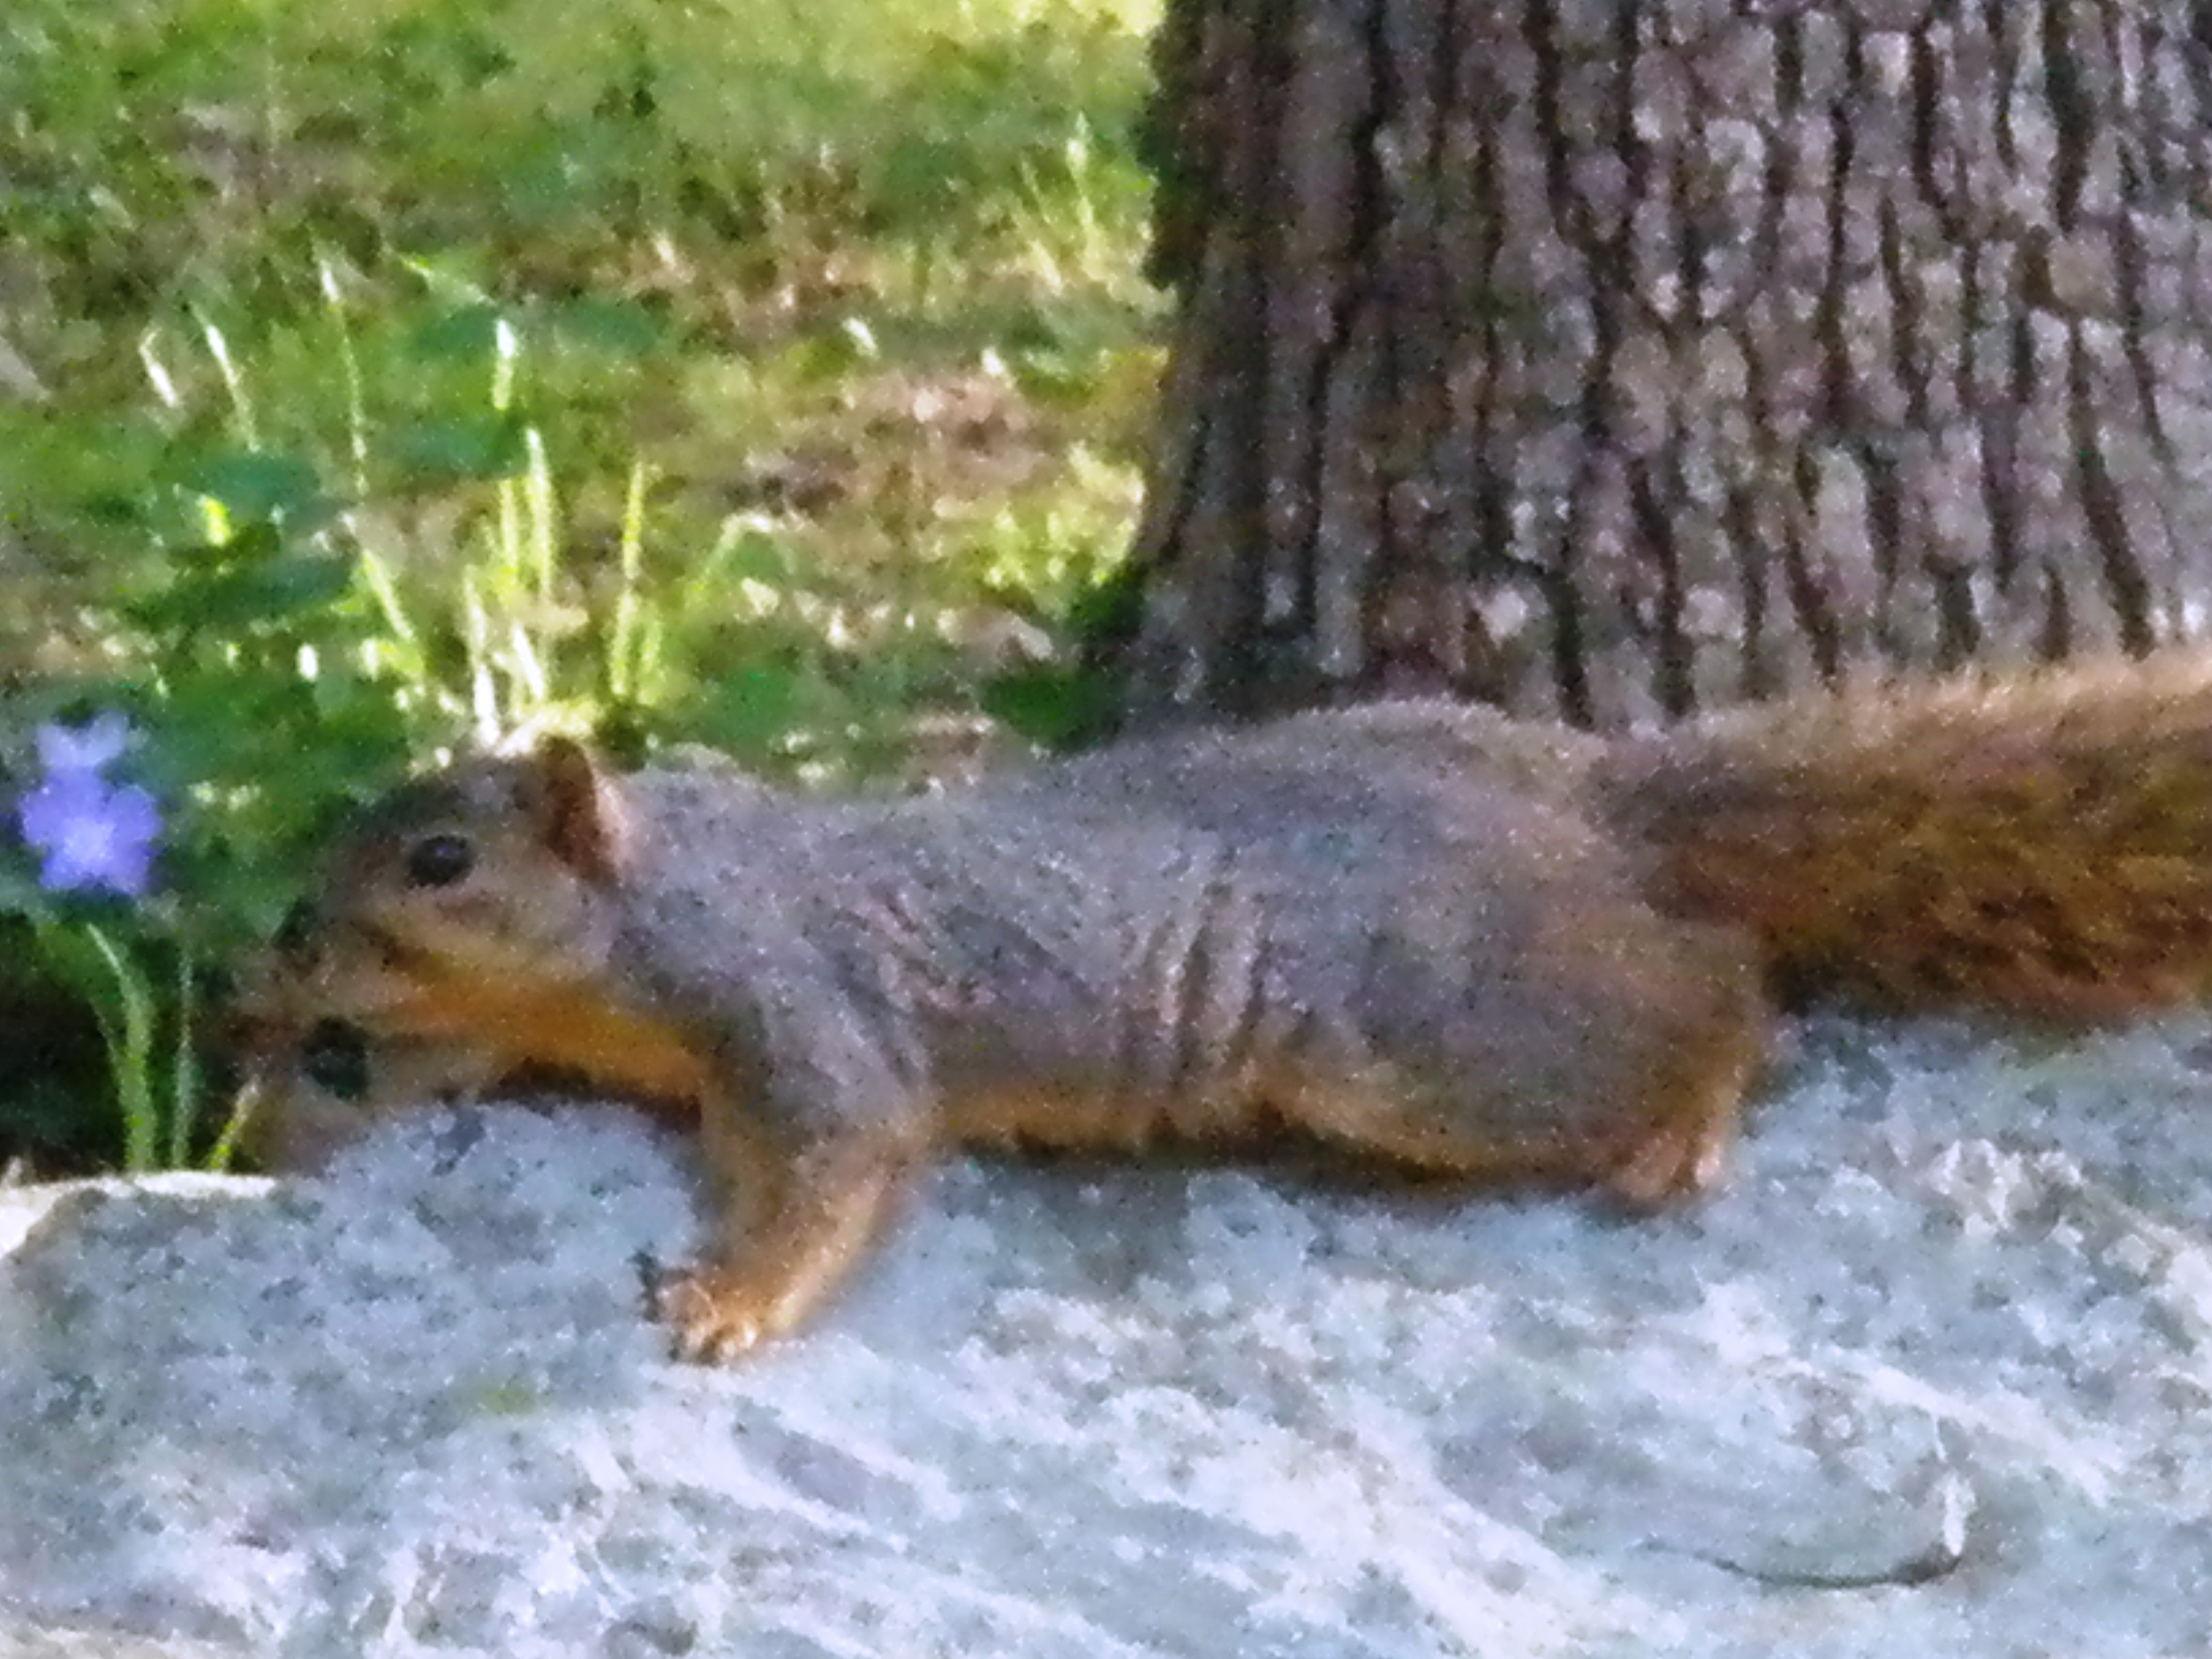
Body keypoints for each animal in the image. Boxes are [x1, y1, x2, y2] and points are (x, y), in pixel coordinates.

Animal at [231, 650, 2212, 1362]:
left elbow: (839, 1153)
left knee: (1717, 987)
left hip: (1428, 1037)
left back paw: (1687, 1113)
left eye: (438, 861)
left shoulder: (797, 1002)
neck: (647, 908)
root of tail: (1588, 800)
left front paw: (726, 1301)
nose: (286, 948)